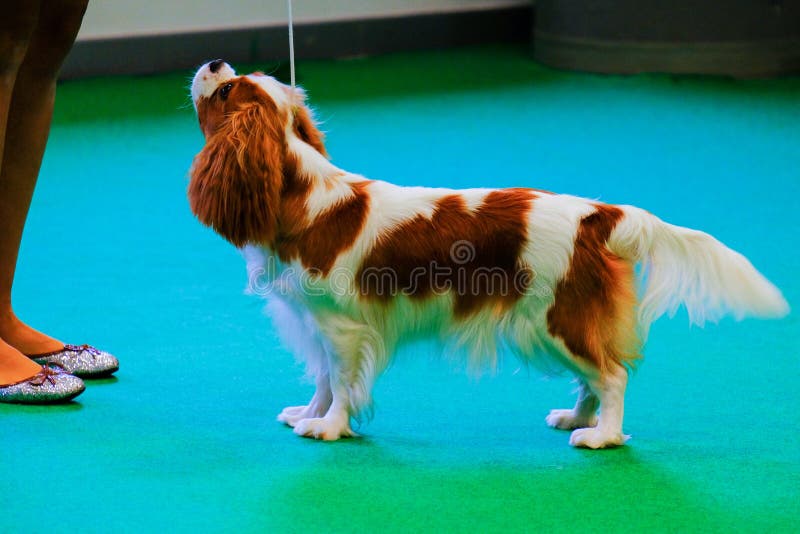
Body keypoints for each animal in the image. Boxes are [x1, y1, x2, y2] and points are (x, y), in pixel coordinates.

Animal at [188, 60, 788, 448]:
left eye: (227, 89)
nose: (214, 61)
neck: (301, 192)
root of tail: (598, 214)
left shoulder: (344, 329)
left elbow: (340, 382)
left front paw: (330, 428)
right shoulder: (317, 324)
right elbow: (319, 377)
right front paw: (307, 413)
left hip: (555, 320)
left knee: (612, 375)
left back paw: (603, 436)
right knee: (592, 379)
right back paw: (576, 418)